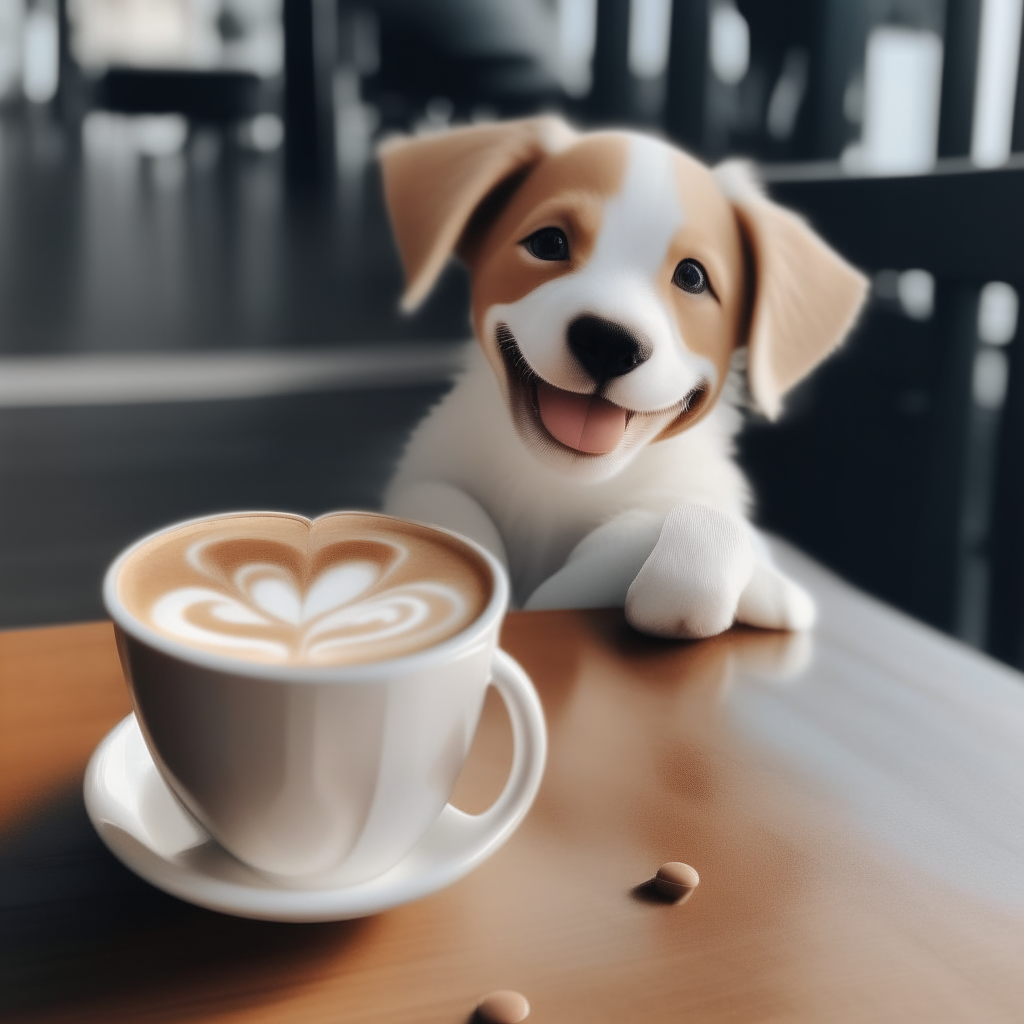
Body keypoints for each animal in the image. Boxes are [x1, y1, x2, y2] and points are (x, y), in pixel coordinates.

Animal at [380, 116, 868, 634]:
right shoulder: (429, 477)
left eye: (692, 277)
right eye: (548, 243)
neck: (564, 484)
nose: (609, 343)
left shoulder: (696, 503)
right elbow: (443, 510)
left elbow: (684, 541)